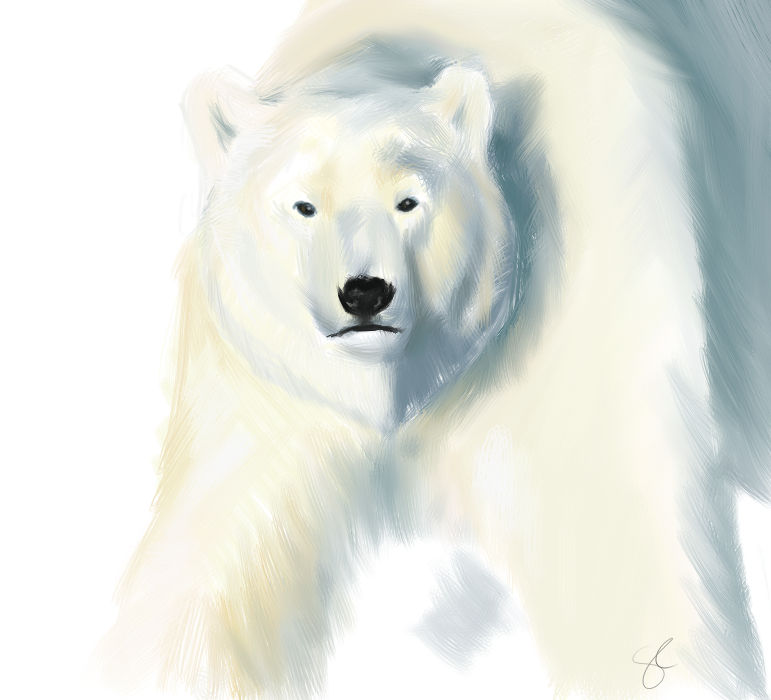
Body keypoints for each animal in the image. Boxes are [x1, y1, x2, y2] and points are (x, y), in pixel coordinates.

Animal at [102, 0, 771, 698]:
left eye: (409, 201)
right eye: (303, 205)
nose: (364, 293)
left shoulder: (570, 312)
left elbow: (616, 542)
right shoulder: (270, 392)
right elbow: (209, 565)